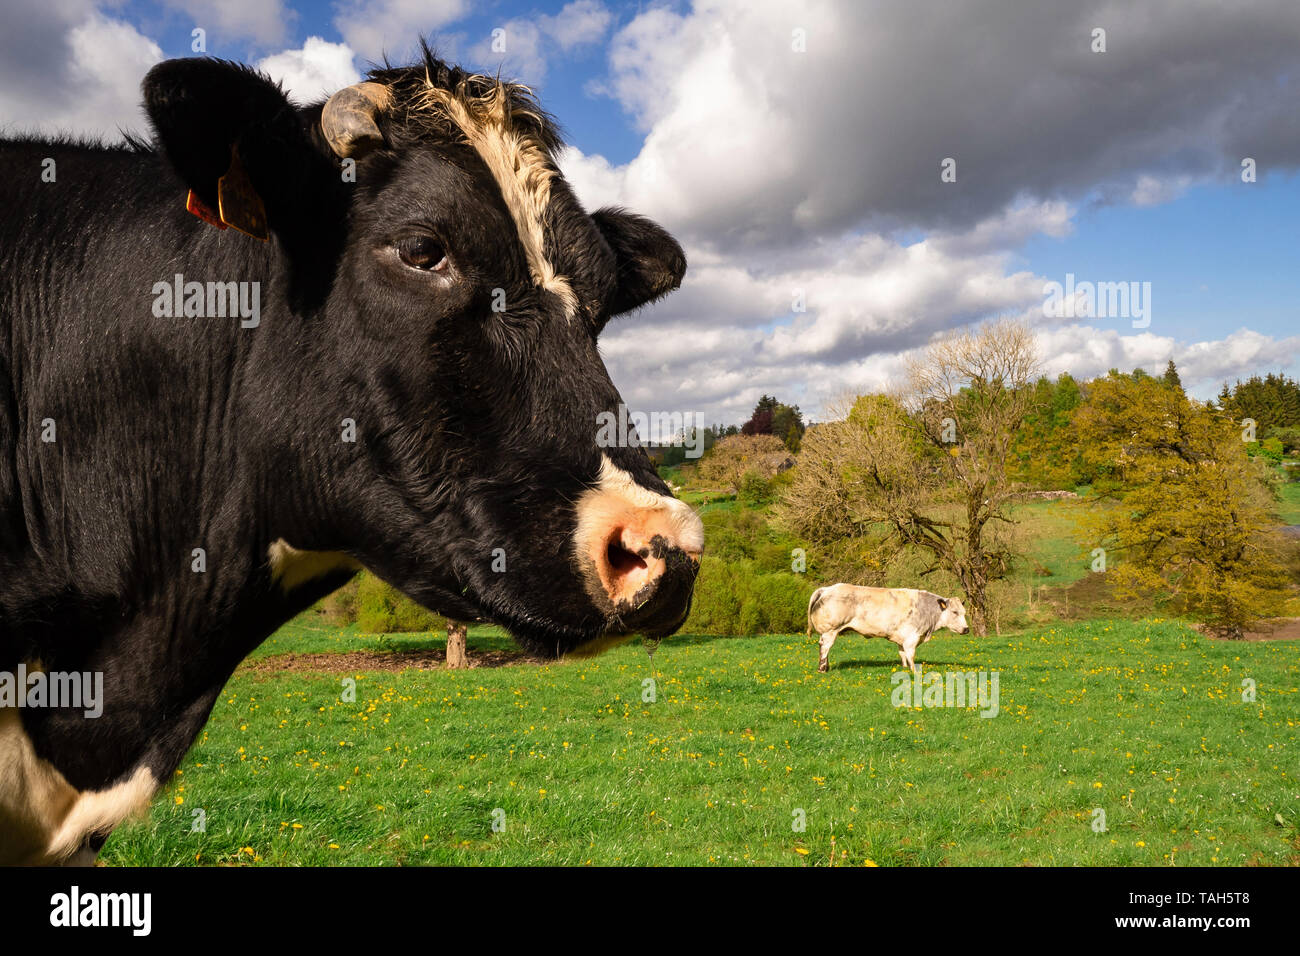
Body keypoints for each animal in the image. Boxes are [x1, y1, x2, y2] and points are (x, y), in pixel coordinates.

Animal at [806, 582, 972, 671]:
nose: (966, 629)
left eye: (964, 612)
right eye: (955, 612)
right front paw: (914, 671)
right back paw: (822, 669)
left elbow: (902, 654)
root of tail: (827, 588)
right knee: (825, 648)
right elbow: (911, 655)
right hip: (830, 630)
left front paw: (905, 668)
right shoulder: (912, 637)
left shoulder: (902, 638)